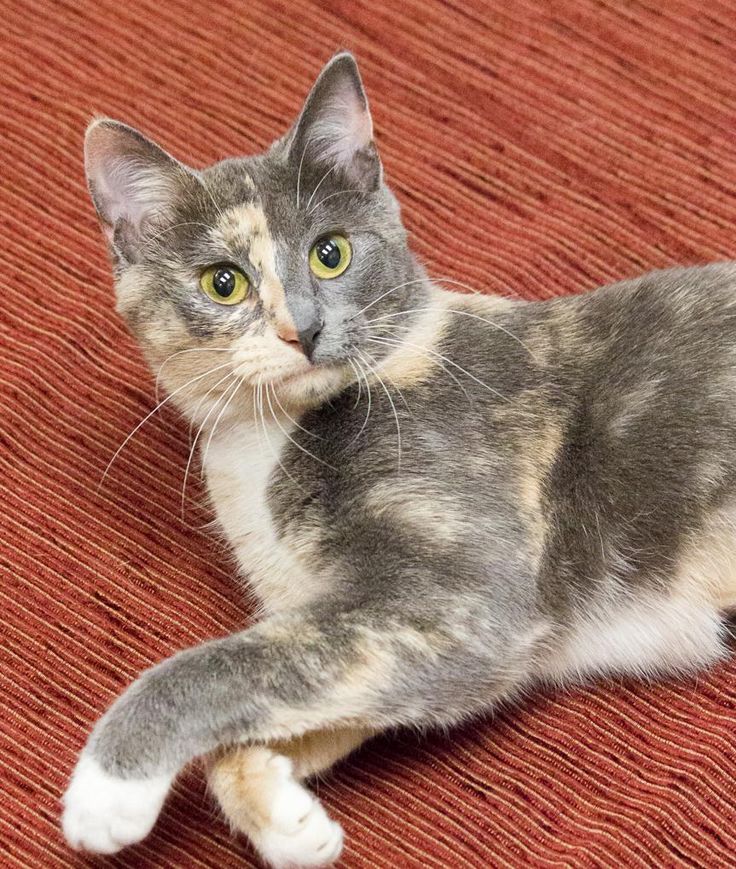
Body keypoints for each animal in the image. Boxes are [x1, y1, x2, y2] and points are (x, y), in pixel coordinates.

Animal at [61, 50, 736, 864]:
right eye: (223, 282)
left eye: (331, 254)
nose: (304, 329)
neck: (261, 449)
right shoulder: (382, 629)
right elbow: (294, 700)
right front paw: (284, 816)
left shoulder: (460, 601)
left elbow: (231, 663)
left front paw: (108, 786)